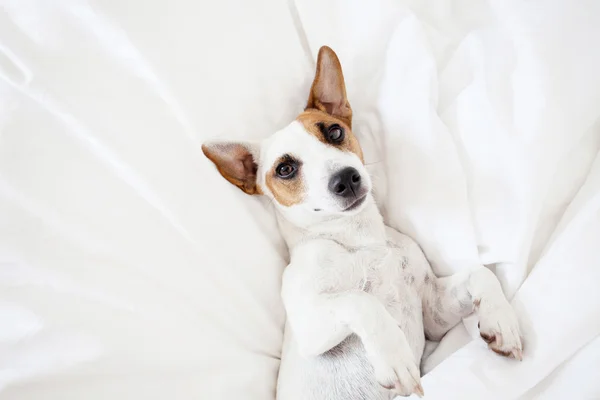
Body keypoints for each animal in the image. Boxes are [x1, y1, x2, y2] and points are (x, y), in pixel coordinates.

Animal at [204, 46, 524, 396]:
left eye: (334, 131)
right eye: (285, 169)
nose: (346, 178)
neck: (359, 240)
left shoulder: (433, 314)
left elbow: (481, 274)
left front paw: (501, 320)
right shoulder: (308, 326)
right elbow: (360, 301)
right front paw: (394, 355)